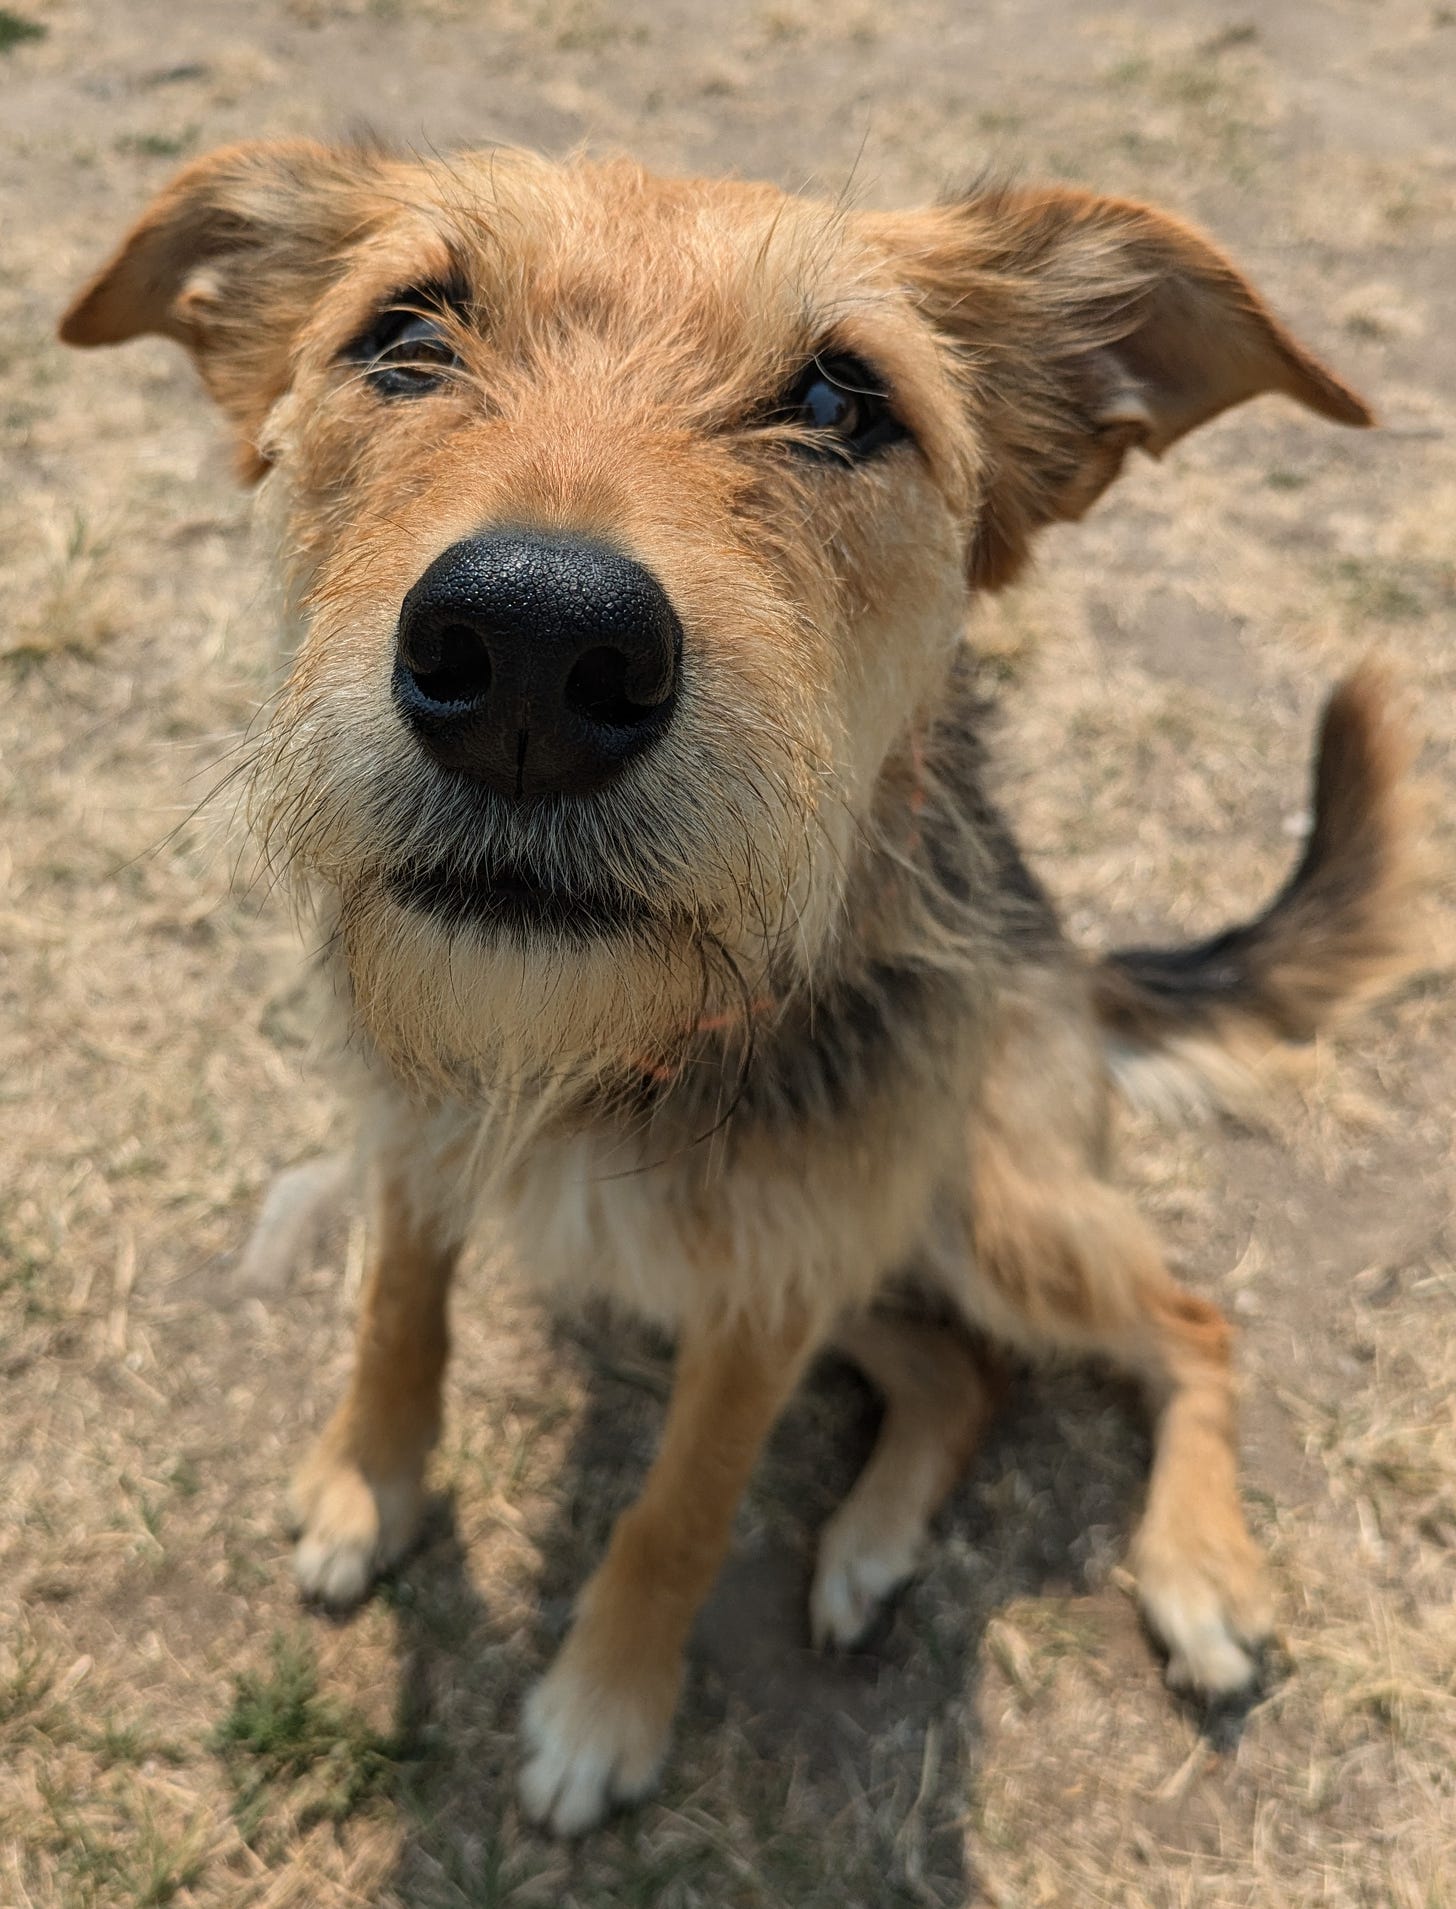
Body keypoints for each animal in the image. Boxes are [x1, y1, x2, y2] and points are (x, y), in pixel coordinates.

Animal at [62, 141, 1419, 1840]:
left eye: (843, 398)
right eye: (404, 338)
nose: (532, 652)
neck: (604, 1054)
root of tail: (1069, 958)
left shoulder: (764, 1291)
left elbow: (680, 1508)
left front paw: (603, 1710)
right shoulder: (426, 1142)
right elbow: (396, 1316)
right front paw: (366, 1483)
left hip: (977, 1203)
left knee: (1187, 1318)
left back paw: (1196, 1571)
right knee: (961, 1370)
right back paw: (873, 1542)